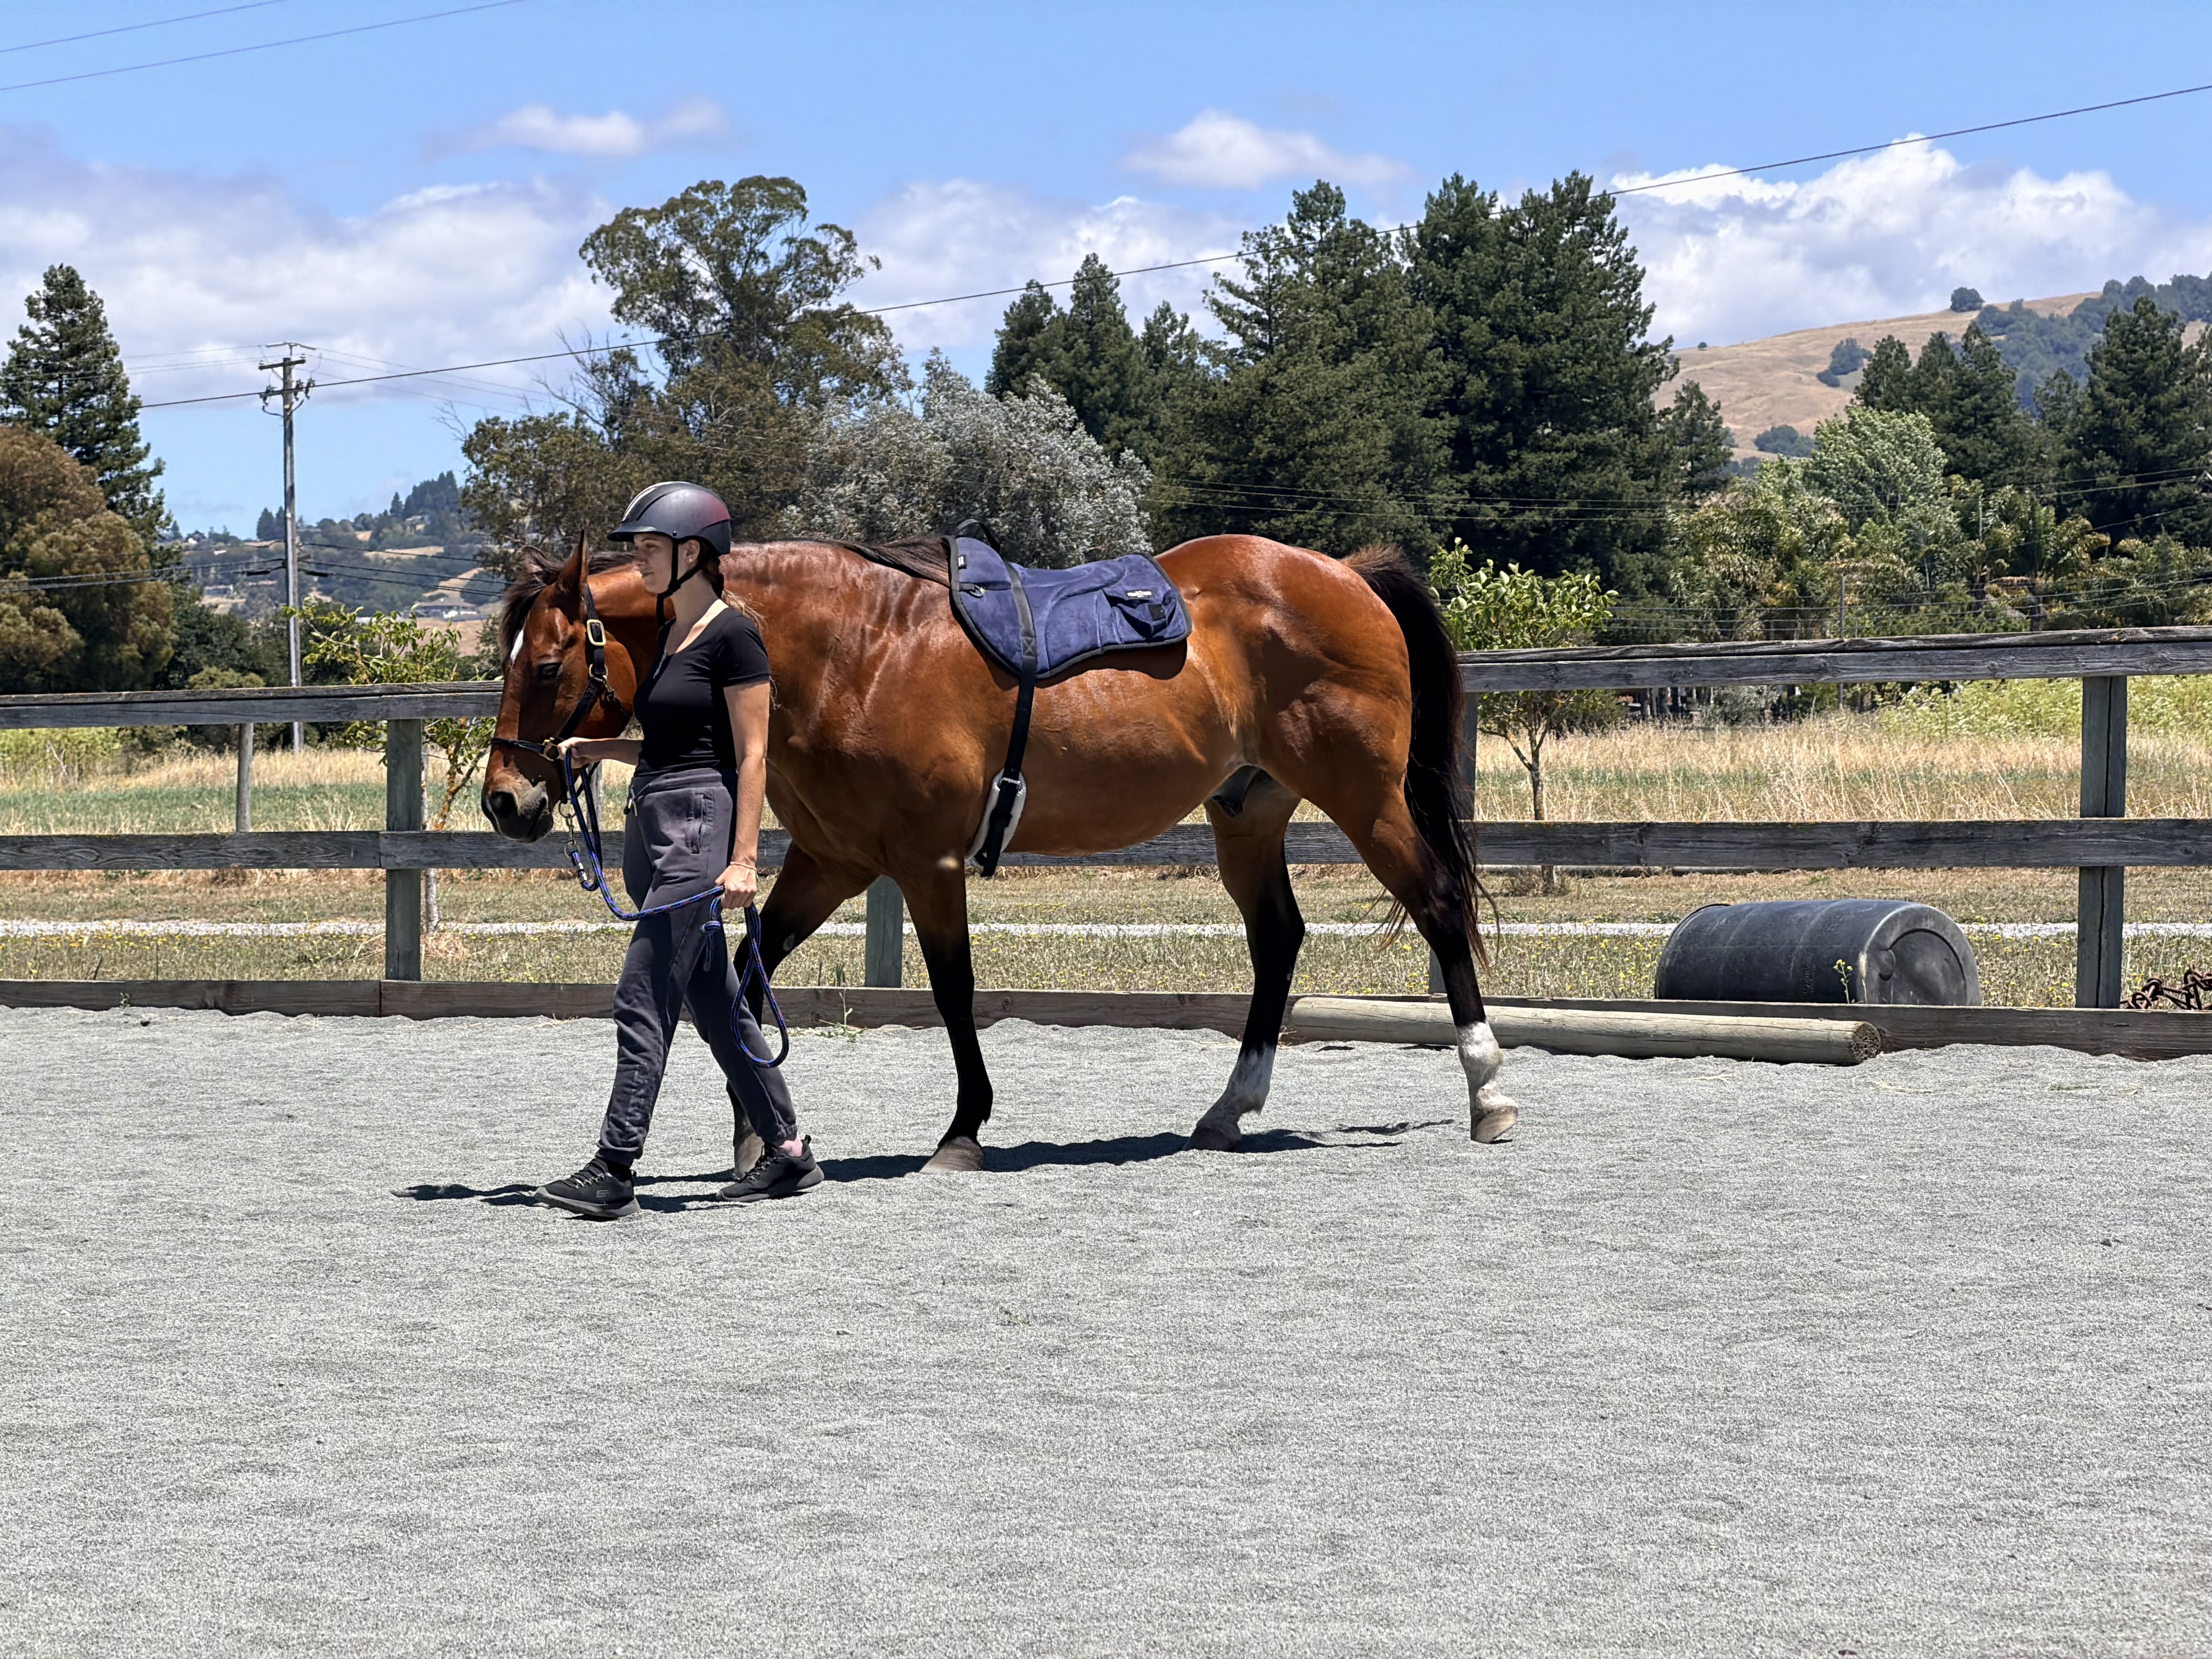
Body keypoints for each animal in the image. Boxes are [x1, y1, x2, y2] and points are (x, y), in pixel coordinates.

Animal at [482, 533, 1519, 1171]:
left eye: (548, 664)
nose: (505, 800)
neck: (855, 652)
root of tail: (1342, 572)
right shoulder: (830, 863)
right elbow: (741, 978)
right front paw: (756, 1133)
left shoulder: (927, 866)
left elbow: (953, 994)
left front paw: (964, 1130)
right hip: (1248, 812)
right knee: (1279, 942)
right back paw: (1230, 1109)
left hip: (1365, 799)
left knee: (1436, 902)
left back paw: (1488, 1093)